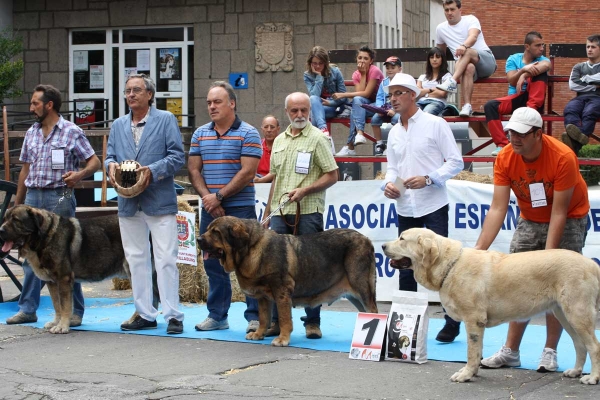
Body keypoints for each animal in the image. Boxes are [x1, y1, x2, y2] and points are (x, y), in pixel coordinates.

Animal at [0, 205, 148, 332]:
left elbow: (65, 305)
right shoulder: (52, 282)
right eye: (5, 218)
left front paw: (62, 326)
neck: (45, 237)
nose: (0, 230)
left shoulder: (63, 279)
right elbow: (57, 305)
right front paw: (56, 322)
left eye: (16, 220)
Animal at [197, 216, 378, 346]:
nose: (198, 239)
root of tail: (367, 240)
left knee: (374, 311)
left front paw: (282, 339)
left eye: (216, 232)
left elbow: (284, 318)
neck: (251, 248)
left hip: (362, 288)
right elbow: (264, 318)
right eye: (208, 230)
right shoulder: (263, 297)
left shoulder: (282, 291)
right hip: (354, 295)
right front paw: (259, 334)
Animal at [384, 228, 600, 384]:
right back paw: (575, 371)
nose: (384, 245)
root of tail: (592, 264)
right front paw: (472, 373)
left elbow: (471, 352)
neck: (450, 265)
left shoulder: (473, 320)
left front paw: (465, 375)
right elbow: (477, 351)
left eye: (402, 238)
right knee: (580, 345)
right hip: (563, 314)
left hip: (577, 313)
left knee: (594, 346)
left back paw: (592, 378)